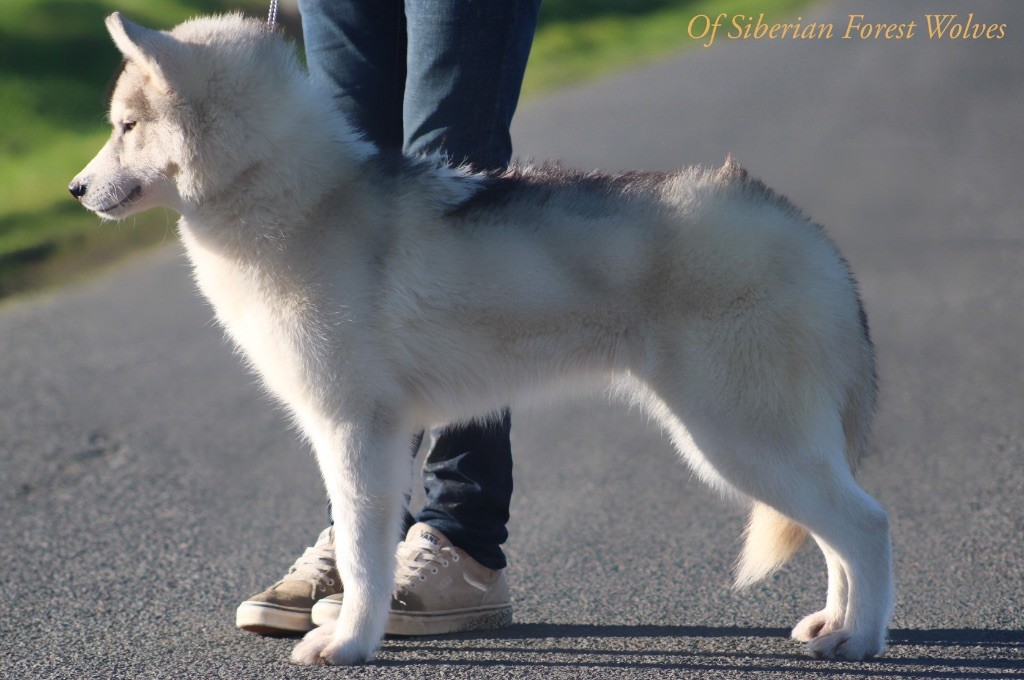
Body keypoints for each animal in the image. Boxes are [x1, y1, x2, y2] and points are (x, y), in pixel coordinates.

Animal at [72, 13, 892, 667]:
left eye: (125, 126)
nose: (74, 192)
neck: (292, 196)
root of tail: (804, 232)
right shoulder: (365, 437)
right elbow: (358, 547)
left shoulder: (357, 431)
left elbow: (366, 557)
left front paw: (348, 644)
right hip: (760, 444)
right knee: (835, 532)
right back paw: (832, 624)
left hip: (740, 439)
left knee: (867, 524)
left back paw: (861, 638)